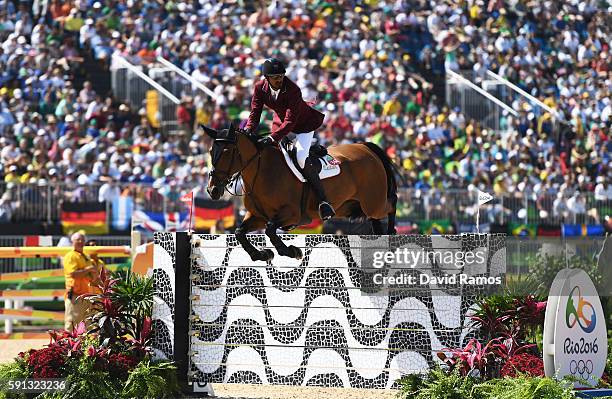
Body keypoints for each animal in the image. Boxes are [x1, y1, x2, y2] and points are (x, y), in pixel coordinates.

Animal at [203, 125, 400, 262]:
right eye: (211, 151)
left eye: (227, 152)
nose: (213, 190)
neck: (262, 172)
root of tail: (365, 147)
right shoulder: (257, 216)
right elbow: (239, 232)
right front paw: (262, 255)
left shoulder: (291, 214)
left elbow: (270, 229)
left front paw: (291, 251)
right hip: (353, 206)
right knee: (376, 220)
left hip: (373, 203)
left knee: (391, 203)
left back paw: (391, 235)